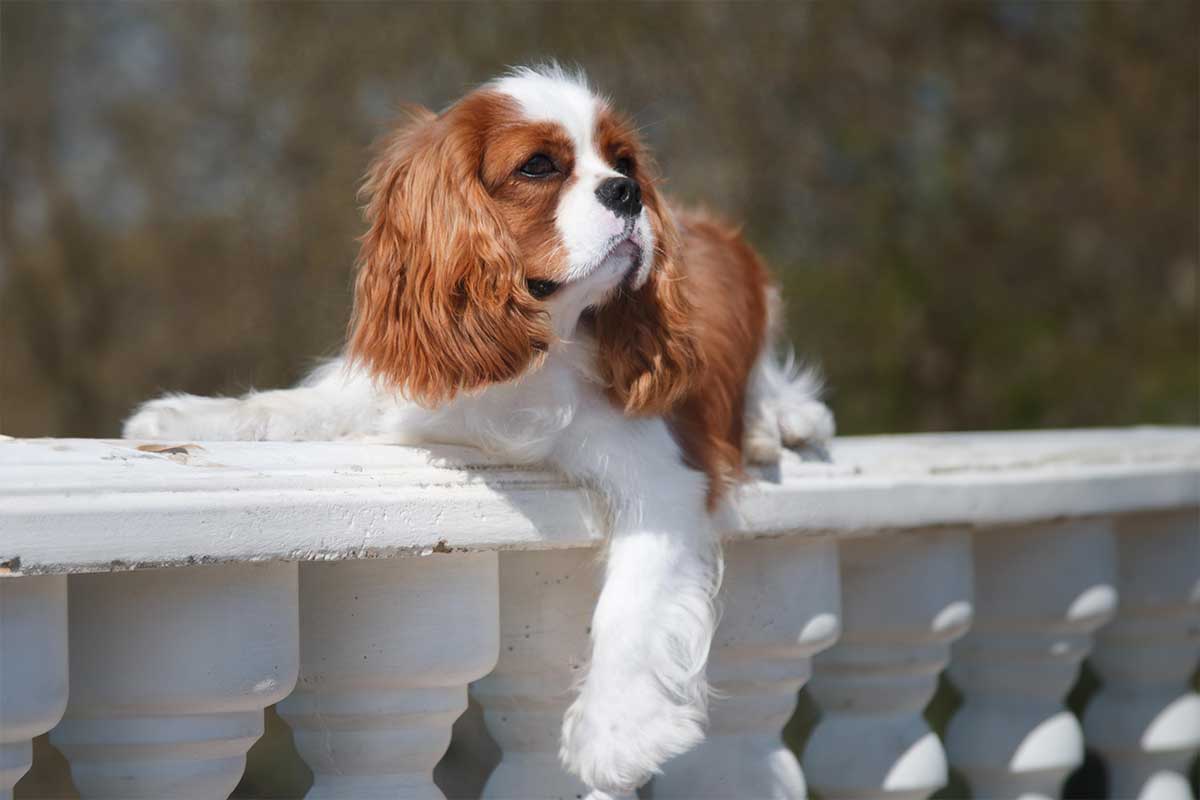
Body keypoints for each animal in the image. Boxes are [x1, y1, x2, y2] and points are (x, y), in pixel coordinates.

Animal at [124, 65, 835, 796]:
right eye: (538, 166)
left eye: (624, 162)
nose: (628, 191)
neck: (537, 346)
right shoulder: (401, 394)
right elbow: (293, 407)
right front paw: (187, 419)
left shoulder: (663, 475)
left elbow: (632, 598)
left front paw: (615, 731)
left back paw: (778, 420)